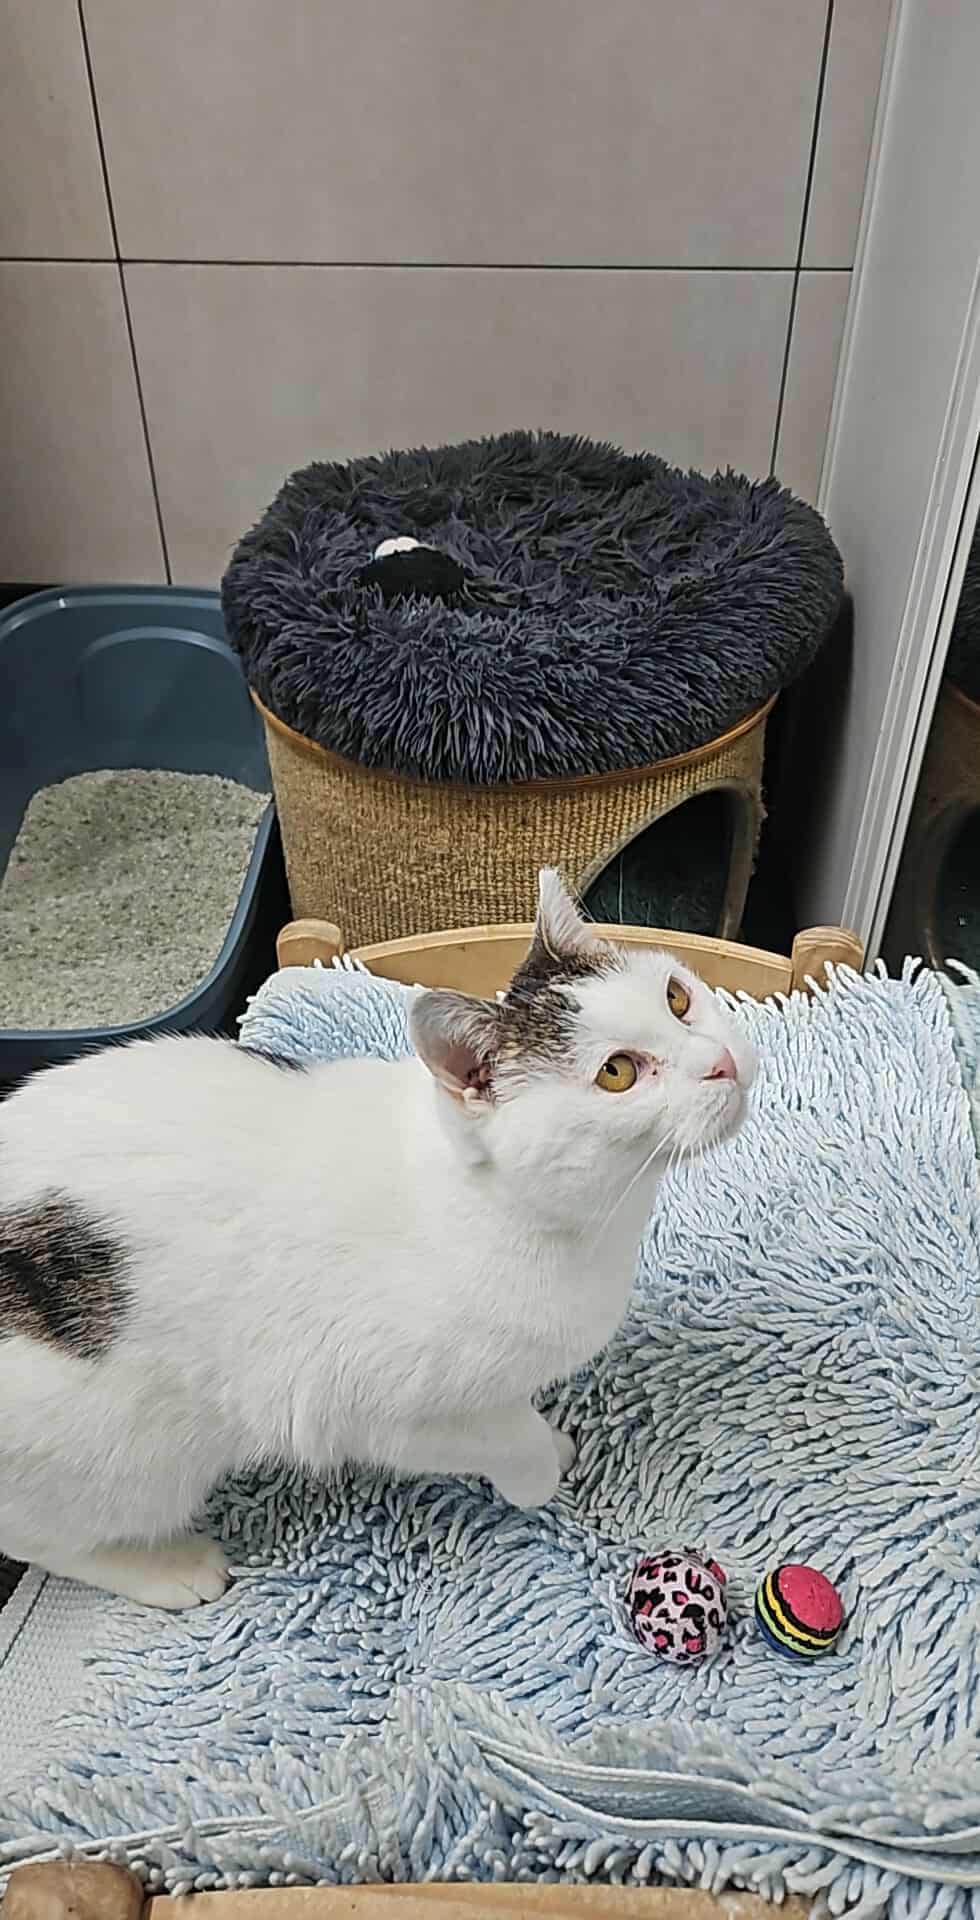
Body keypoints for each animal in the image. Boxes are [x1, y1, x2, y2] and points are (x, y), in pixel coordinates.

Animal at [0, 872, 755, 1609]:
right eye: (617, 1072)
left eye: (678, 998)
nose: (721, 1061)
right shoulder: (368, 1412)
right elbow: (504, 1439)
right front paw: (537, 1472)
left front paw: (549, 1438)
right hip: (122, 1460)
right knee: (49, 1538)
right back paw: (168, 1568)